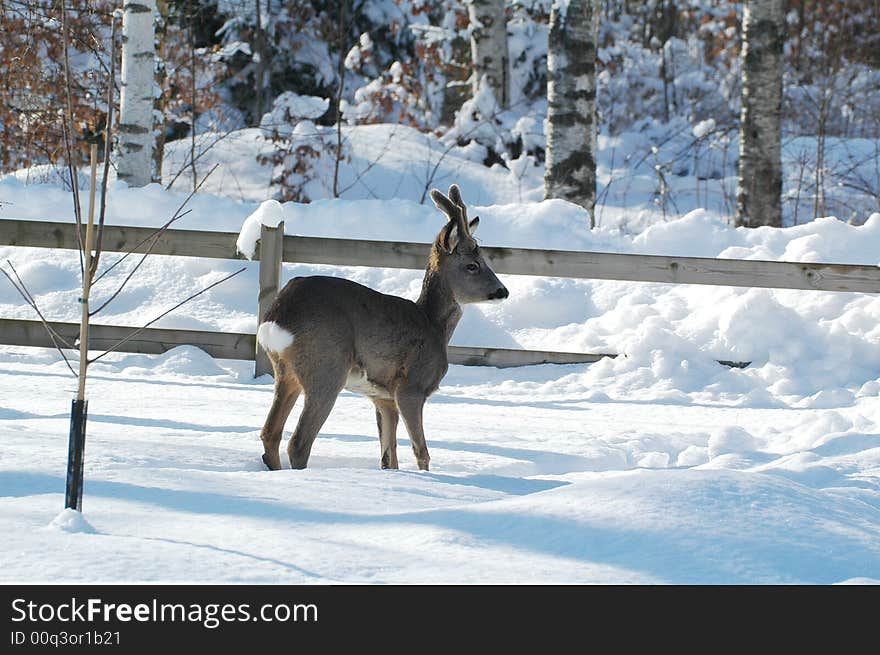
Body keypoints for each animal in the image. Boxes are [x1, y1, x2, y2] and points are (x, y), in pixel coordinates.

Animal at [254, 184, 508, 472]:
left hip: (285, 372)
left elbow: (389, 457)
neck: (433, 324)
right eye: (472, 265)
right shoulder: (411, 386)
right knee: (298, 442)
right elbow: (421, 452)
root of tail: (277, 316)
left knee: (270, 433)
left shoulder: (383, 397)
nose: (503, 291)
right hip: (326, 367)